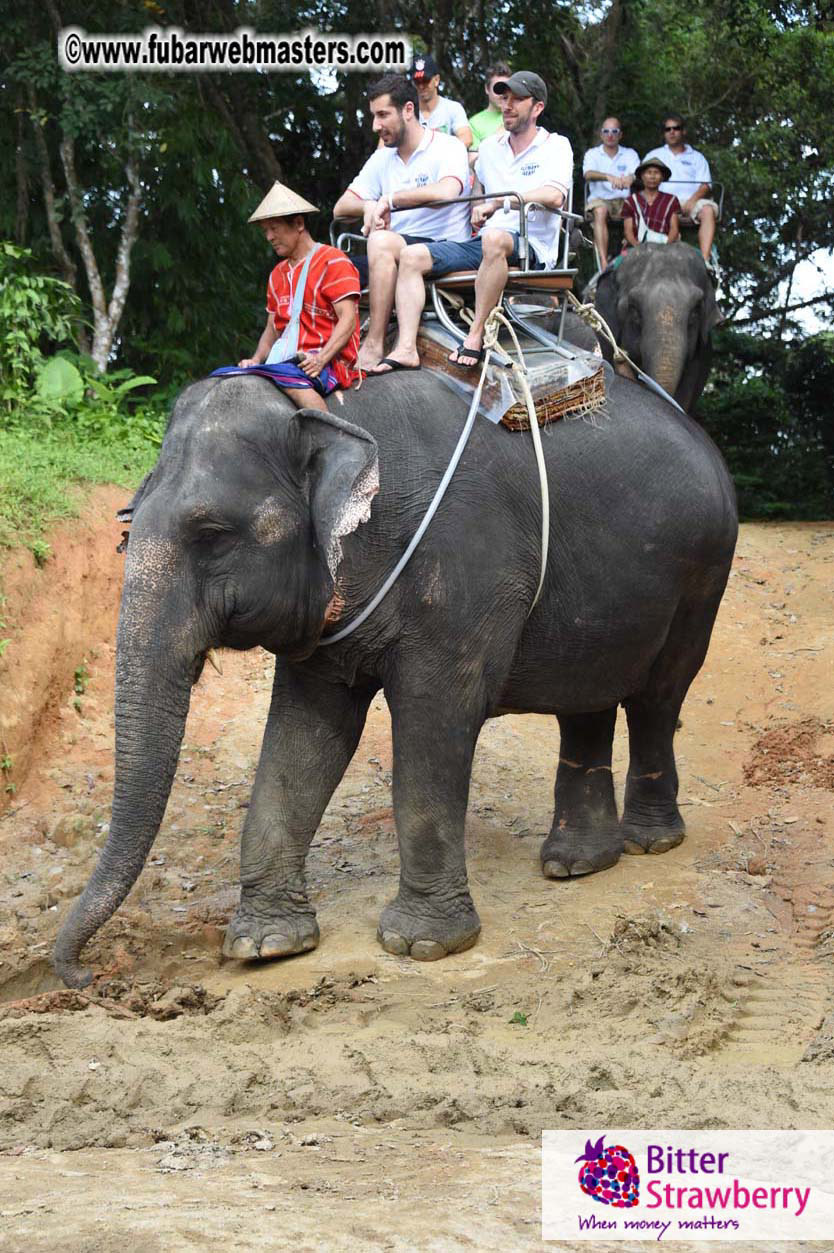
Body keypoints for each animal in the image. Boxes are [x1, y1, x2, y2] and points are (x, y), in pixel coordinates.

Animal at [52, 360, 738, 989]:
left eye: (213, 533)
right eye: (126, 526)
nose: (82, 976)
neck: (333, 415)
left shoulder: (466, 569)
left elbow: (435, 720)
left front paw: (422, 946)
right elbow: (305, 735)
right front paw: (265, 946)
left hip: (705, 572)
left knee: (658, 696)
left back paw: (650, 843)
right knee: (586, 701)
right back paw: (577, 864)